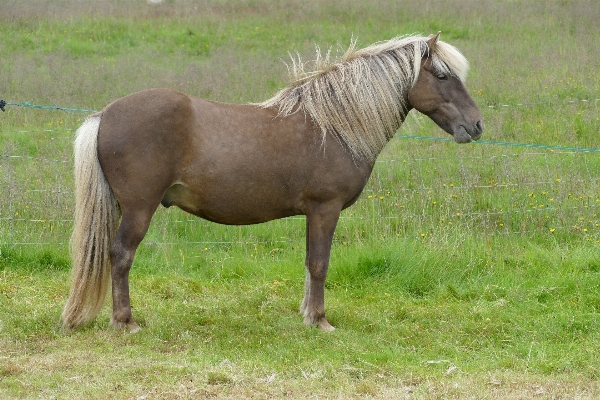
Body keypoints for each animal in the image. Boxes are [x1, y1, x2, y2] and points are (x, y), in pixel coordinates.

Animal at [61, 33, 482, 332]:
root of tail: (105, 114)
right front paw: (320, 321)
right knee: (120, 256)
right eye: (441, 75)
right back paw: (126, 322)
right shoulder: (325, 209)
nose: (476, 125)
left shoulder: (314, 214)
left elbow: (310, 263)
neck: (333, 126)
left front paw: (308, 315)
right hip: (138, 209)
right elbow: (319, 264)